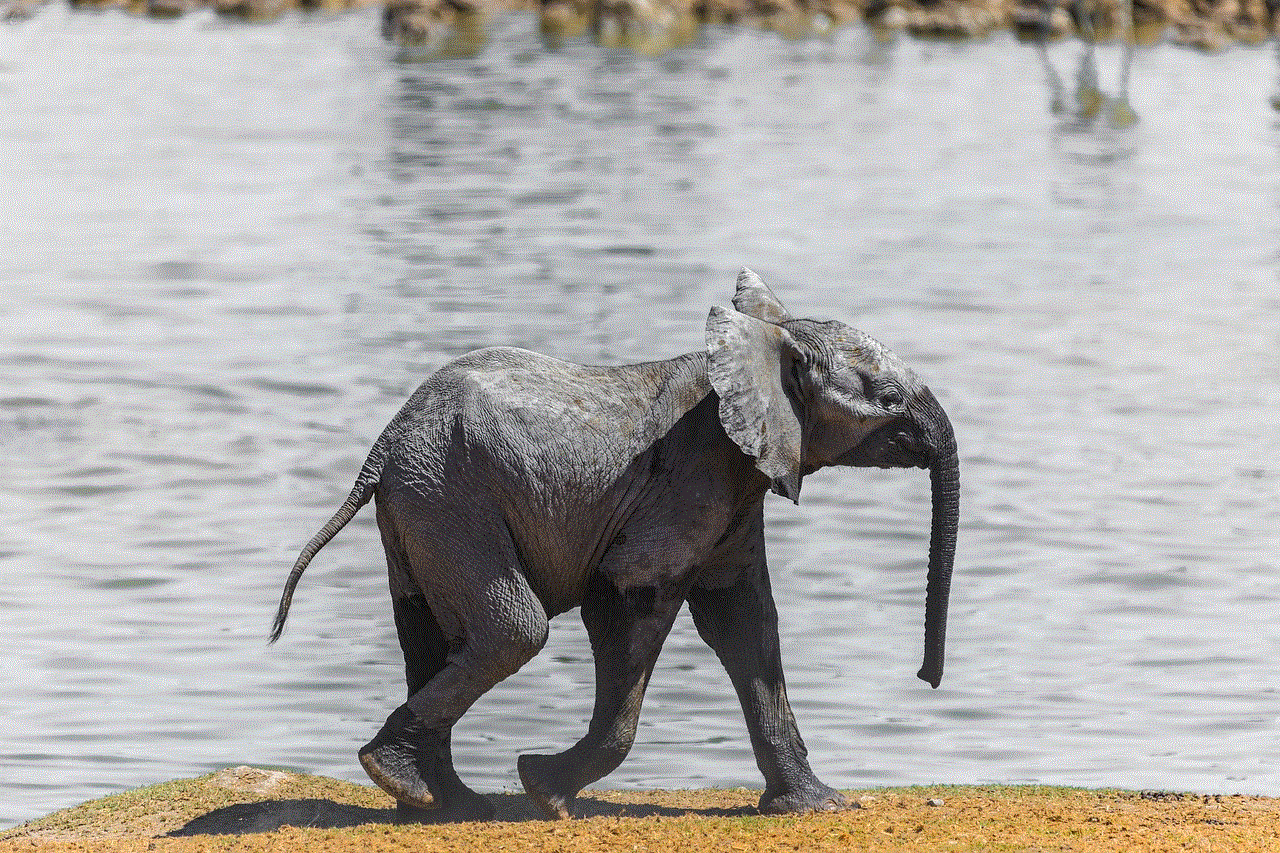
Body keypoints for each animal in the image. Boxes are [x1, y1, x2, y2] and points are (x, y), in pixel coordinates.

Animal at [270, 268, 957, 819]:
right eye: (886, 399)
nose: (927, 679)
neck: (758, 346)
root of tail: (382, 447)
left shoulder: (736, 493)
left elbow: (745, 623)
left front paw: (818, 807)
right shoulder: (692, 479)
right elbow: (628, 599)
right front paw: (543, 790)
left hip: (423, 502)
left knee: (428, 632)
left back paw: (439, 801)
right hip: (450, 498)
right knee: (514, 632)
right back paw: (413, 783)